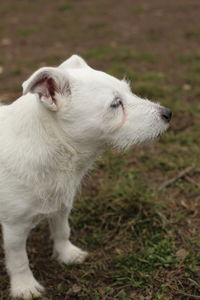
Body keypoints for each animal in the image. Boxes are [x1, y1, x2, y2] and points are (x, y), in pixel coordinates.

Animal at [0, 55, 172, 298]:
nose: (168, 113)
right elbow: (18, 259)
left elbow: (62, 231)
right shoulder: (14, 226)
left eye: (128, 90)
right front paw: (25, 286)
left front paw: (67, 254)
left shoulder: (61, 206)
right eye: (115, 104)